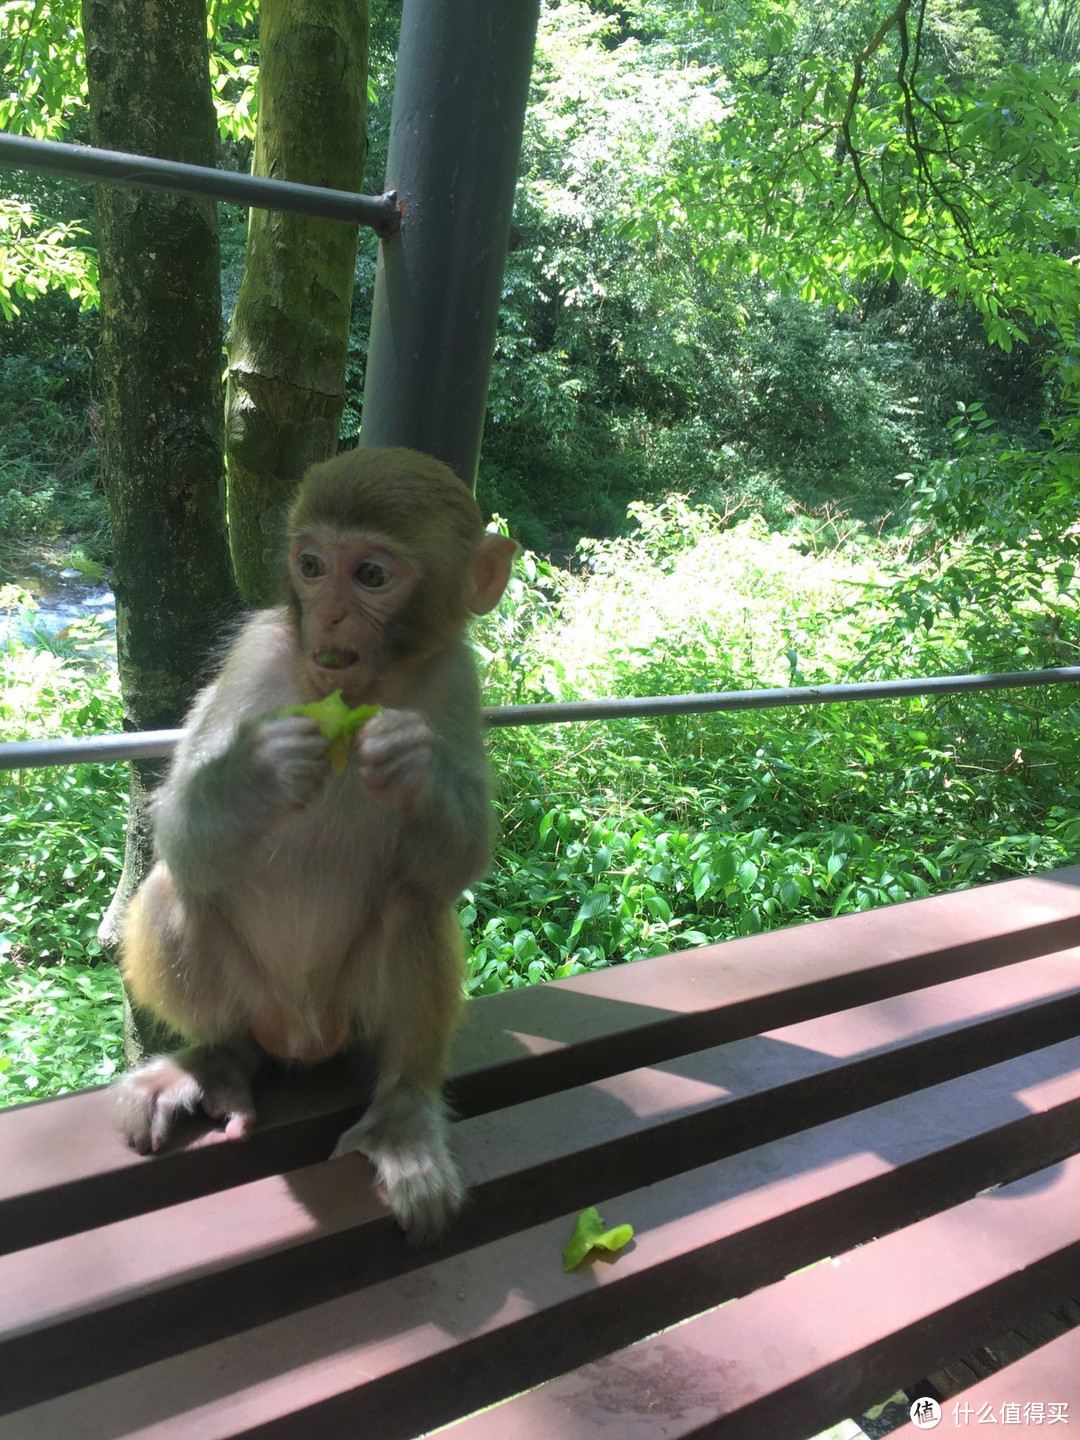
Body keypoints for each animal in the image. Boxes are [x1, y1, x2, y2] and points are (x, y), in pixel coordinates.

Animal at [112, 449, 518, 1238]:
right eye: (310, 565)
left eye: (370, 575)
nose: (327, 614)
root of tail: (301, 1035)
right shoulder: (256, 655)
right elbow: (176, 829)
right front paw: (256, 771)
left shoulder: (456, 673)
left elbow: (458, 864)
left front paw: (414, 767)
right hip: (256, 1004)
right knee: (182, 890)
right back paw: (216, 1063)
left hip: (348, 1017)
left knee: (414, 905)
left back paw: (403, 1116)